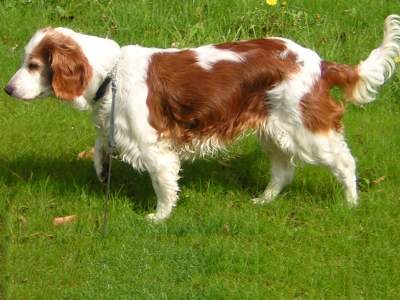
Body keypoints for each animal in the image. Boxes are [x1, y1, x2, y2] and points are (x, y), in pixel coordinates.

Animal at [5, 15, 400, 220]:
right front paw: (102, 170)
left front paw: (159, 219)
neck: (110, 73)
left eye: (34, 65)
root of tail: (320, 62)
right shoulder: (117, 126)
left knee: (345, 163)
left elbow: (164, 187)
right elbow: (100, 145)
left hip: (306, 130)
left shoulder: (155, 149)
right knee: (283, 172)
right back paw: (264, 200)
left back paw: (351, 203)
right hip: (273, 131)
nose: (7, 89)